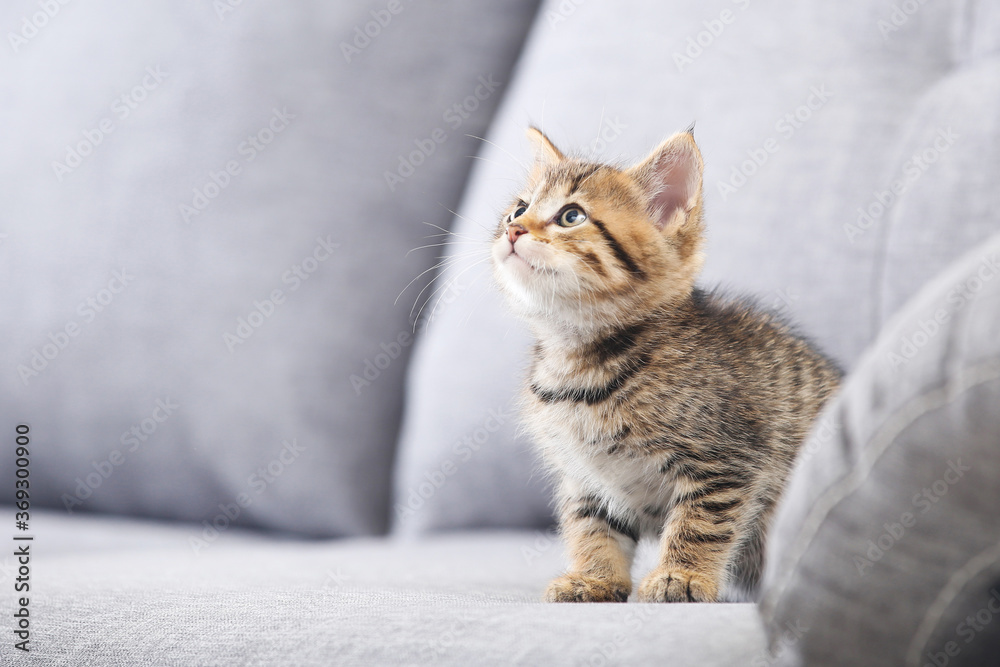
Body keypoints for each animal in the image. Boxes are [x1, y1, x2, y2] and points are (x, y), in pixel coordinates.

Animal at [492, 126, 844, 604]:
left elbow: (701, 523)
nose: (513, 228)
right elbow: (590, 526)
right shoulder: (584, 478)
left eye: (571, 216)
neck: (579, 363)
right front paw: (595, 578)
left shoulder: (725, 462)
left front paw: (683, 575)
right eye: (519, 208)